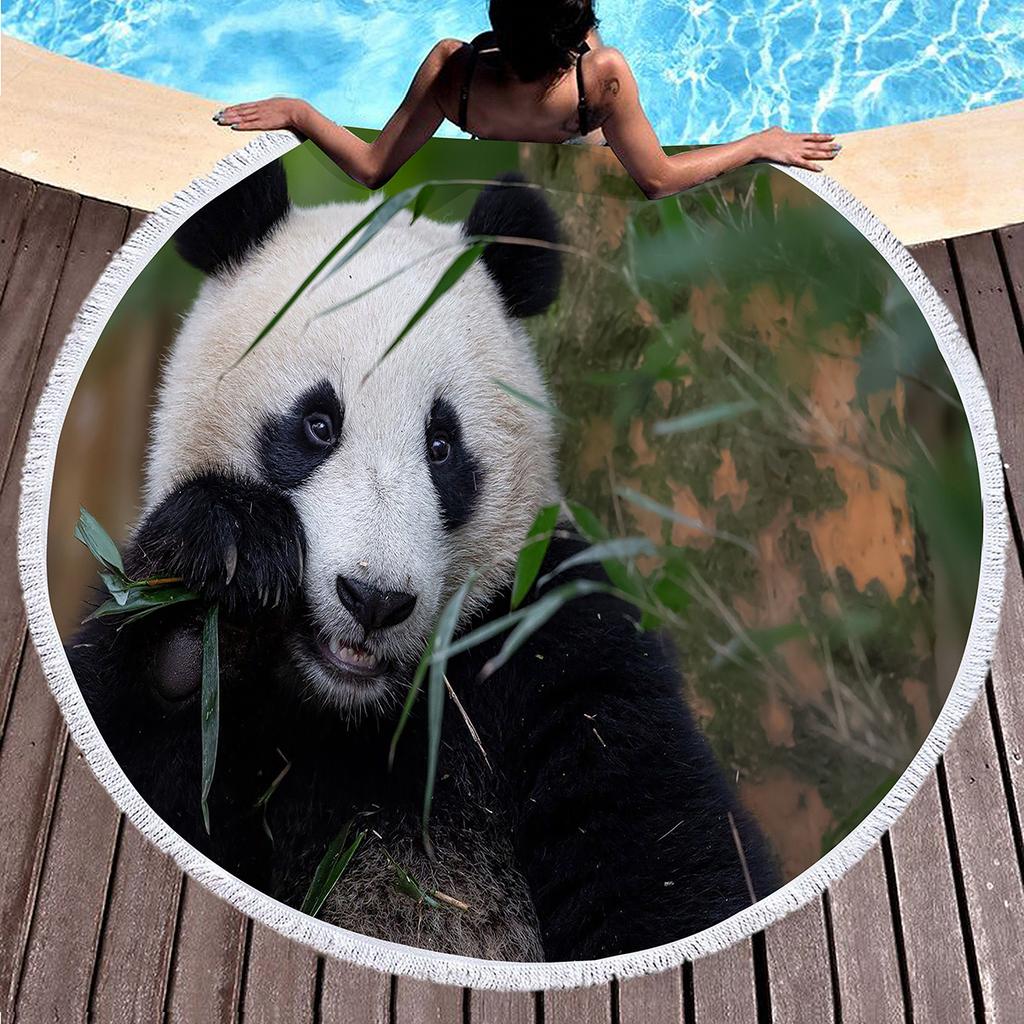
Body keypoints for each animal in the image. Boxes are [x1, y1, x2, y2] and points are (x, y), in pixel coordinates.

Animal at [69, 159, 777, 962]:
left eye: (442, 447)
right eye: (318, 424)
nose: (373, 599)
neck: (357, 709)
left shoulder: (555, 637)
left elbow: (666, 856)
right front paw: (211, 601)